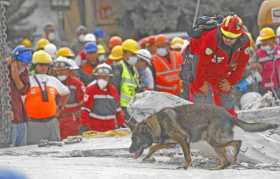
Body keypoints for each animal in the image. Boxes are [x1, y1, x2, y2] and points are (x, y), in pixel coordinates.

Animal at [129, 103, 278, 169]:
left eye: (135, 139)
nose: (130, 150)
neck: (159, 123)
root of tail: (230, 116)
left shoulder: (182, 140)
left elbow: (187, 156)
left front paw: (185, 167)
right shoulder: (173, 142)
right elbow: (154, 147)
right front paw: (147, 156)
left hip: (214, 141)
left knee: (237, 142)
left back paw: (233, 158)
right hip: (215, 144)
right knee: (225, 160)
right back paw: (219, 168)